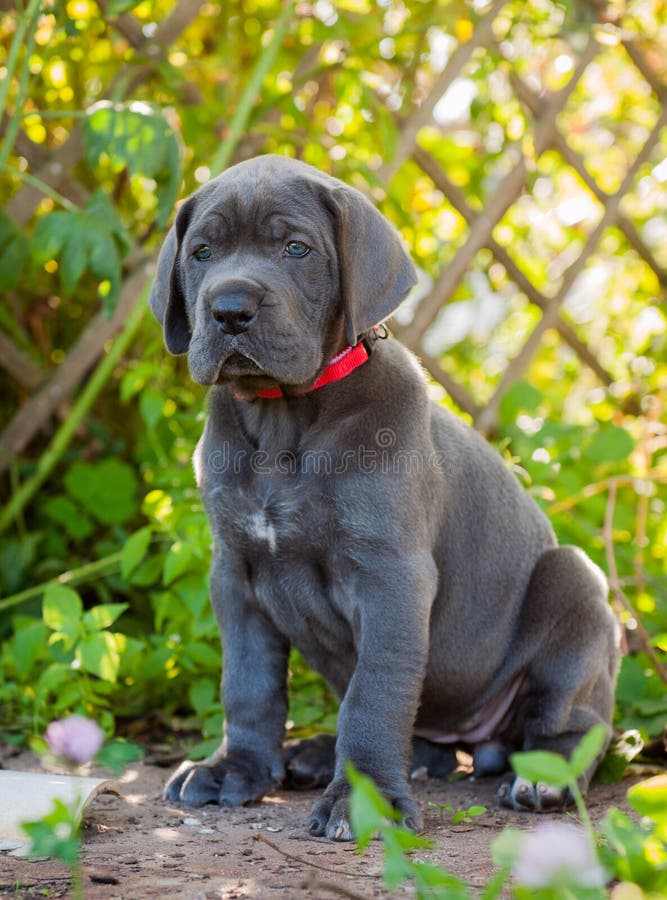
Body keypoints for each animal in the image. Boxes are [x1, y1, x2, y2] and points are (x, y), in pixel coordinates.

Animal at [150, 153, 620, 836]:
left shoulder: (391, 575)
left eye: (296, 248)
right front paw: (235, 769)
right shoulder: (234, 573)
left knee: (577, 724)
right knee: (423, 739)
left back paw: (544, 778)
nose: (231, 309)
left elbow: (376, 693)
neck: (284, 420)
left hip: (573, 584)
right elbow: (248, 683)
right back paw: (321, 754)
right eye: (202, 252)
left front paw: (360, 798)